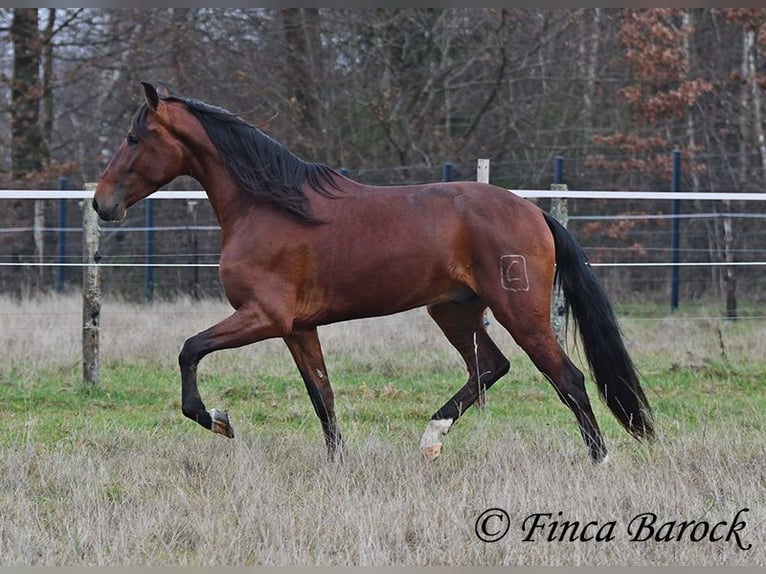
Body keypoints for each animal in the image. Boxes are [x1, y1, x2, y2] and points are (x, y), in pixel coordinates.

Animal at [93, 82, 654, 463]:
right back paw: (431, 439)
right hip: (453, 311)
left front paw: (217, 420)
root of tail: (535, 211)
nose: (102, 204)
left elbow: (189, 350)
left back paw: (599, 459)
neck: (270, 206)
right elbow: (322, 396)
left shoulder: (264, 317)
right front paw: (337, 463)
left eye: (134, 138)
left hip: (519, 311)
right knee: (490, 367)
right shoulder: (298, 328)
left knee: (567, 378)